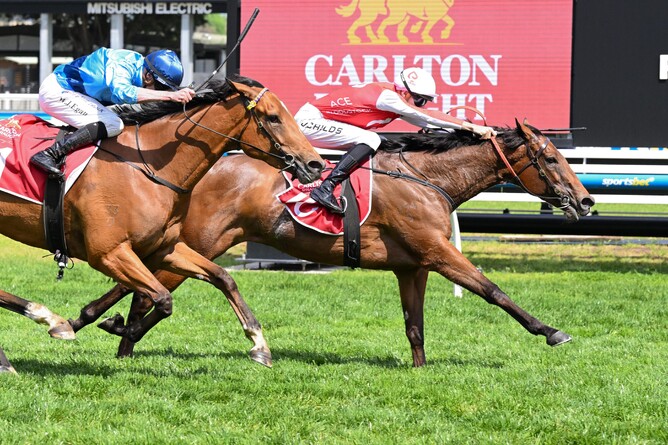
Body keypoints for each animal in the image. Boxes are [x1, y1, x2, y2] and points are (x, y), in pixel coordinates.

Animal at [0, 75, 325, 373]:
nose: (315, 164)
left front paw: (259, 344)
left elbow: (222, 278)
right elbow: (163, 299)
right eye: (273, 117)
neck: (149, 168)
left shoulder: (164, 248)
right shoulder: (108, 253)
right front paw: (120, 327)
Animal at [68, 119, 593, 368]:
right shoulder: (438, 253)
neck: (429, 179)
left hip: (192, 243)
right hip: (202, 241)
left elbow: (415, 326)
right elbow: (493, 290)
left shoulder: (414, 266)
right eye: (550, 157)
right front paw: (551, 331)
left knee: (138, 285)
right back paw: (117, 335)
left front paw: (420, 370)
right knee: (146, 288)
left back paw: (102, 325)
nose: (586, 201)